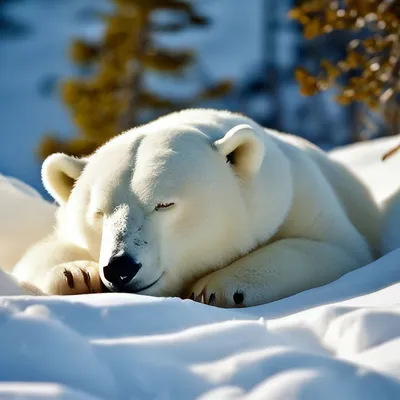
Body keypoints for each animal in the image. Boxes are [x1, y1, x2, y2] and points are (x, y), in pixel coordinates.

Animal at [13, 108, 382, 306]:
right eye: (99, 213)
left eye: (164, 204)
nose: (120, 267)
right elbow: (35, 257)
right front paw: (75, 274)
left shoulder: (301, 198)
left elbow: (334, 250)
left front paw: (218, 287)